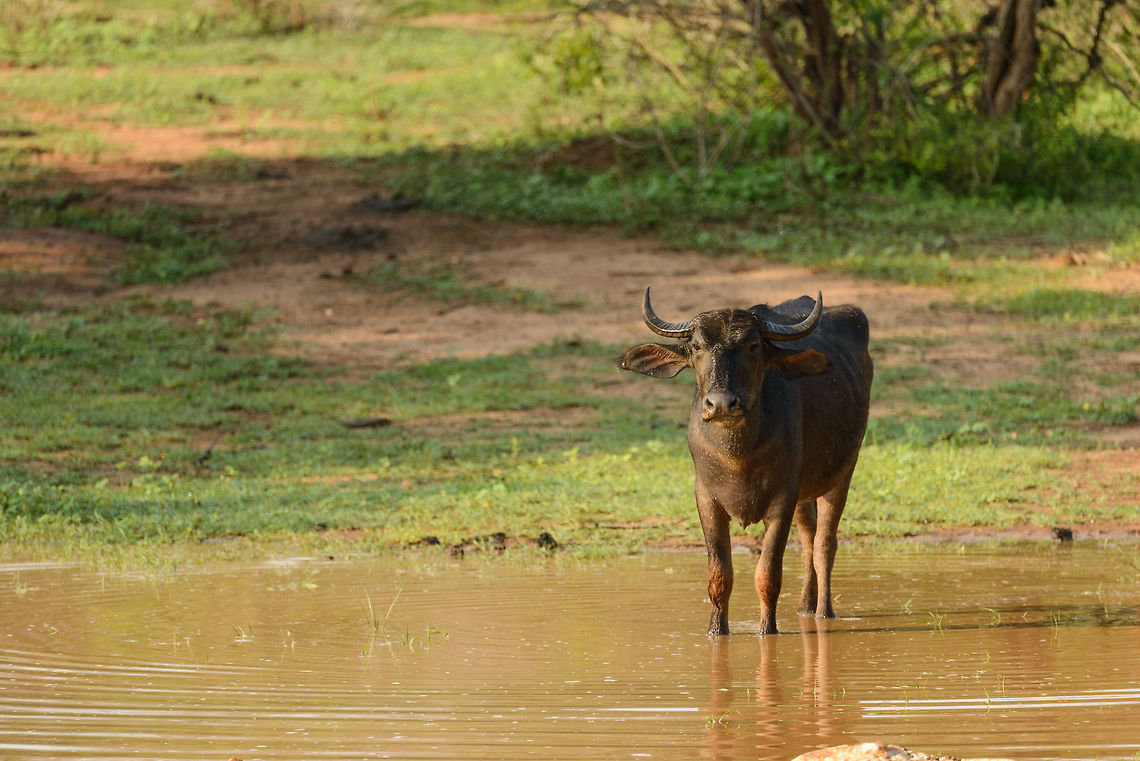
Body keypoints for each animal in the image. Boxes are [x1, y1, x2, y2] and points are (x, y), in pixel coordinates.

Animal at [620, 288, 873, 635]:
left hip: (843, 473)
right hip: (806, 491)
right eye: (697, 347)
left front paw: (768, 631)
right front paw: (716, 632)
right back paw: (805, 607)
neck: (738, 457)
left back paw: (823, 613)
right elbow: (719, 575)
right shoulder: (706, 499)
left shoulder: (782, 497)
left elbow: (767, 573)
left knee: (824, 544)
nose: (721, 404)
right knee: (808, 539)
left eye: (752, 346)